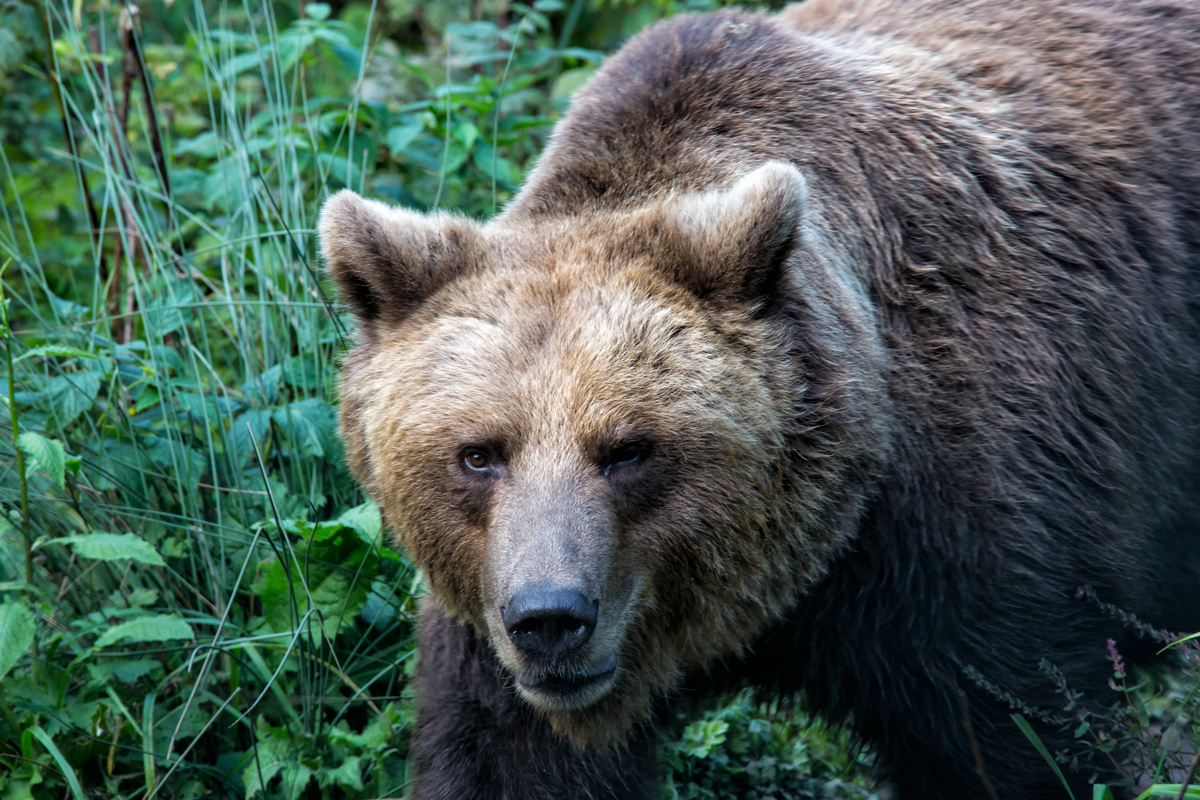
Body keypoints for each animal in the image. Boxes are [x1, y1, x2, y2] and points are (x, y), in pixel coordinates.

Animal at [319, 0, 1200, 796]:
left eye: (629, 449)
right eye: (479, 453)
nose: (550, 618)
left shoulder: (968, 544)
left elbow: (1022, 739)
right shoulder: (485, 614)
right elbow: (503, 760)